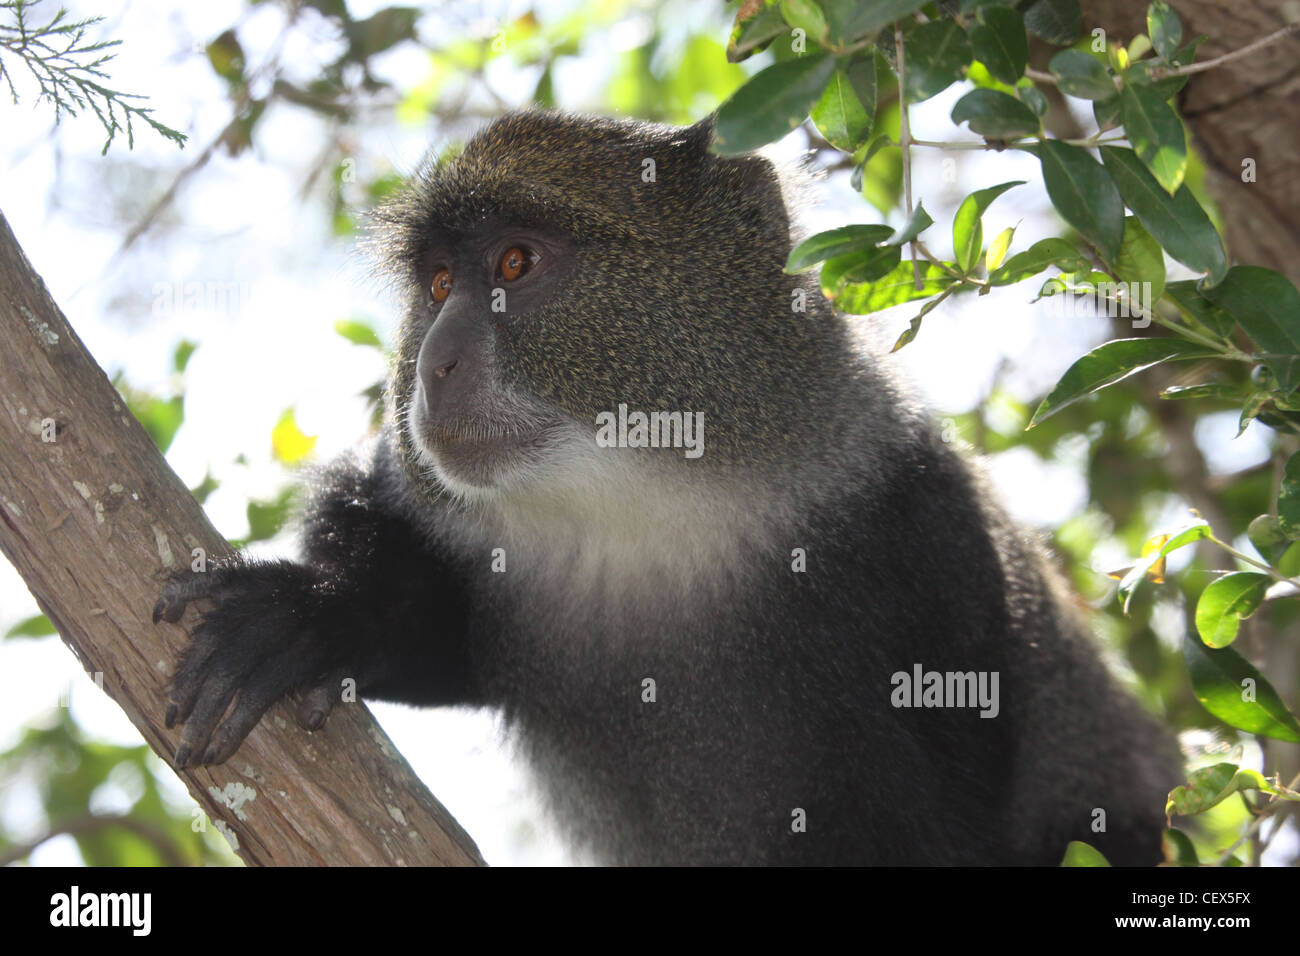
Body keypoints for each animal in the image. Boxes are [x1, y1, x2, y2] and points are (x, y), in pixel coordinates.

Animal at [149, 110, 1180, 868]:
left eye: (515, 264)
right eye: (438, 283)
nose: (433, 365)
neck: (649, 507)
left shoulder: (924, 537)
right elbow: (439, 632)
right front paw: (323, 614)